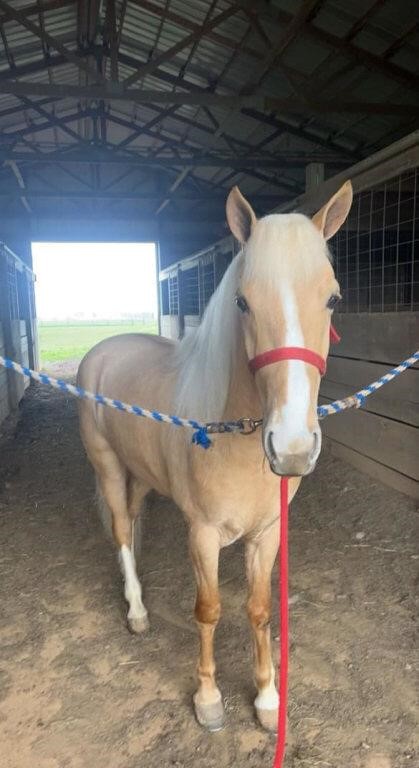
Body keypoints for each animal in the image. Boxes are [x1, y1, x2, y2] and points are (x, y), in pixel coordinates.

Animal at [77, 182, 352, 732]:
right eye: (242, 301)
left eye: (333, 298)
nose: (292, 449)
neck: (234, 434)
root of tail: (102, 350)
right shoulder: (202, 535)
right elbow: (208, 610)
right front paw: (208, 699)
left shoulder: (267, 534)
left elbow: (260, 609)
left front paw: (267, 699)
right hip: (108, 465)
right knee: (120, 529)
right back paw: (136, 611)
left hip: (141, 473)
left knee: (132, 521)